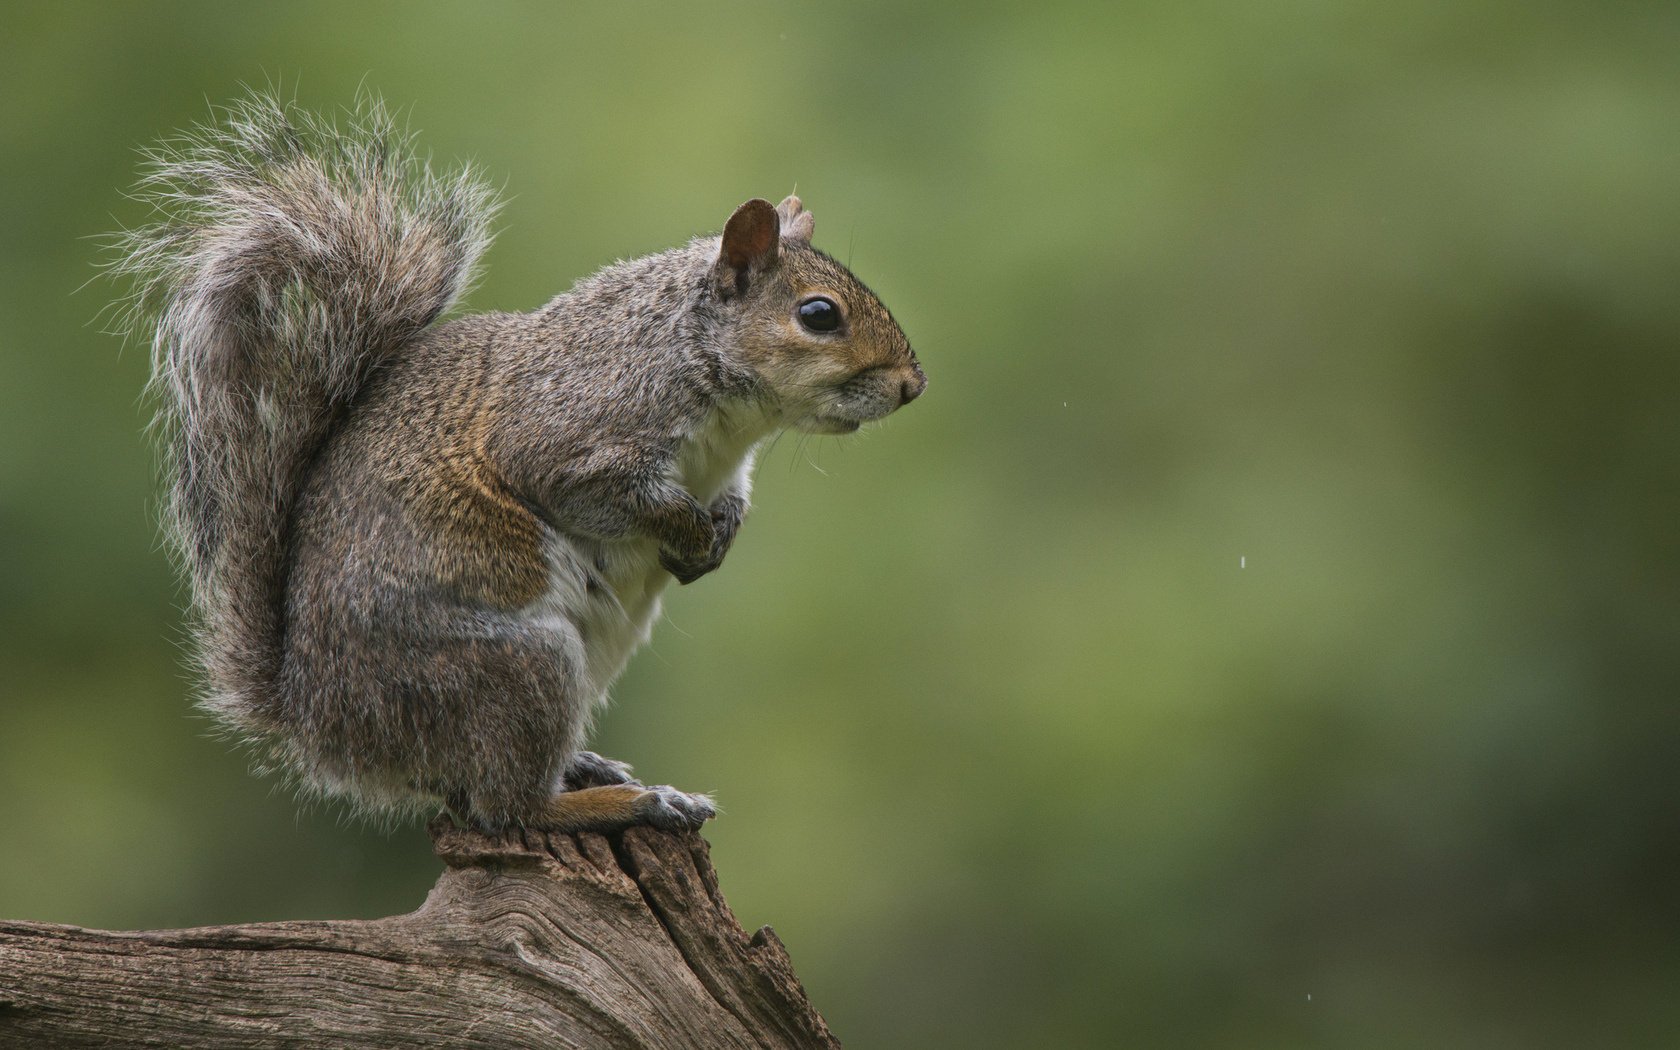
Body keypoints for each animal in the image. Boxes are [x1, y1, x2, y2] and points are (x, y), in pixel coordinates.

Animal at [108, 96, 920, 836]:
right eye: (819, 315)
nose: (914, 385)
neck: (725, 412)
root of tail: (327, 732)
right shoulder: (572, 433)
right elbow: (608, 494)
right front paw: (689, 531)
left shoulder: (727, 466)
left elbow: (732, 500)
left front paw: (718, 535)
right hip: (517, 666)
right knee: (508, 808)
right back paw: (625, 803)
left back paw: (591, 767)